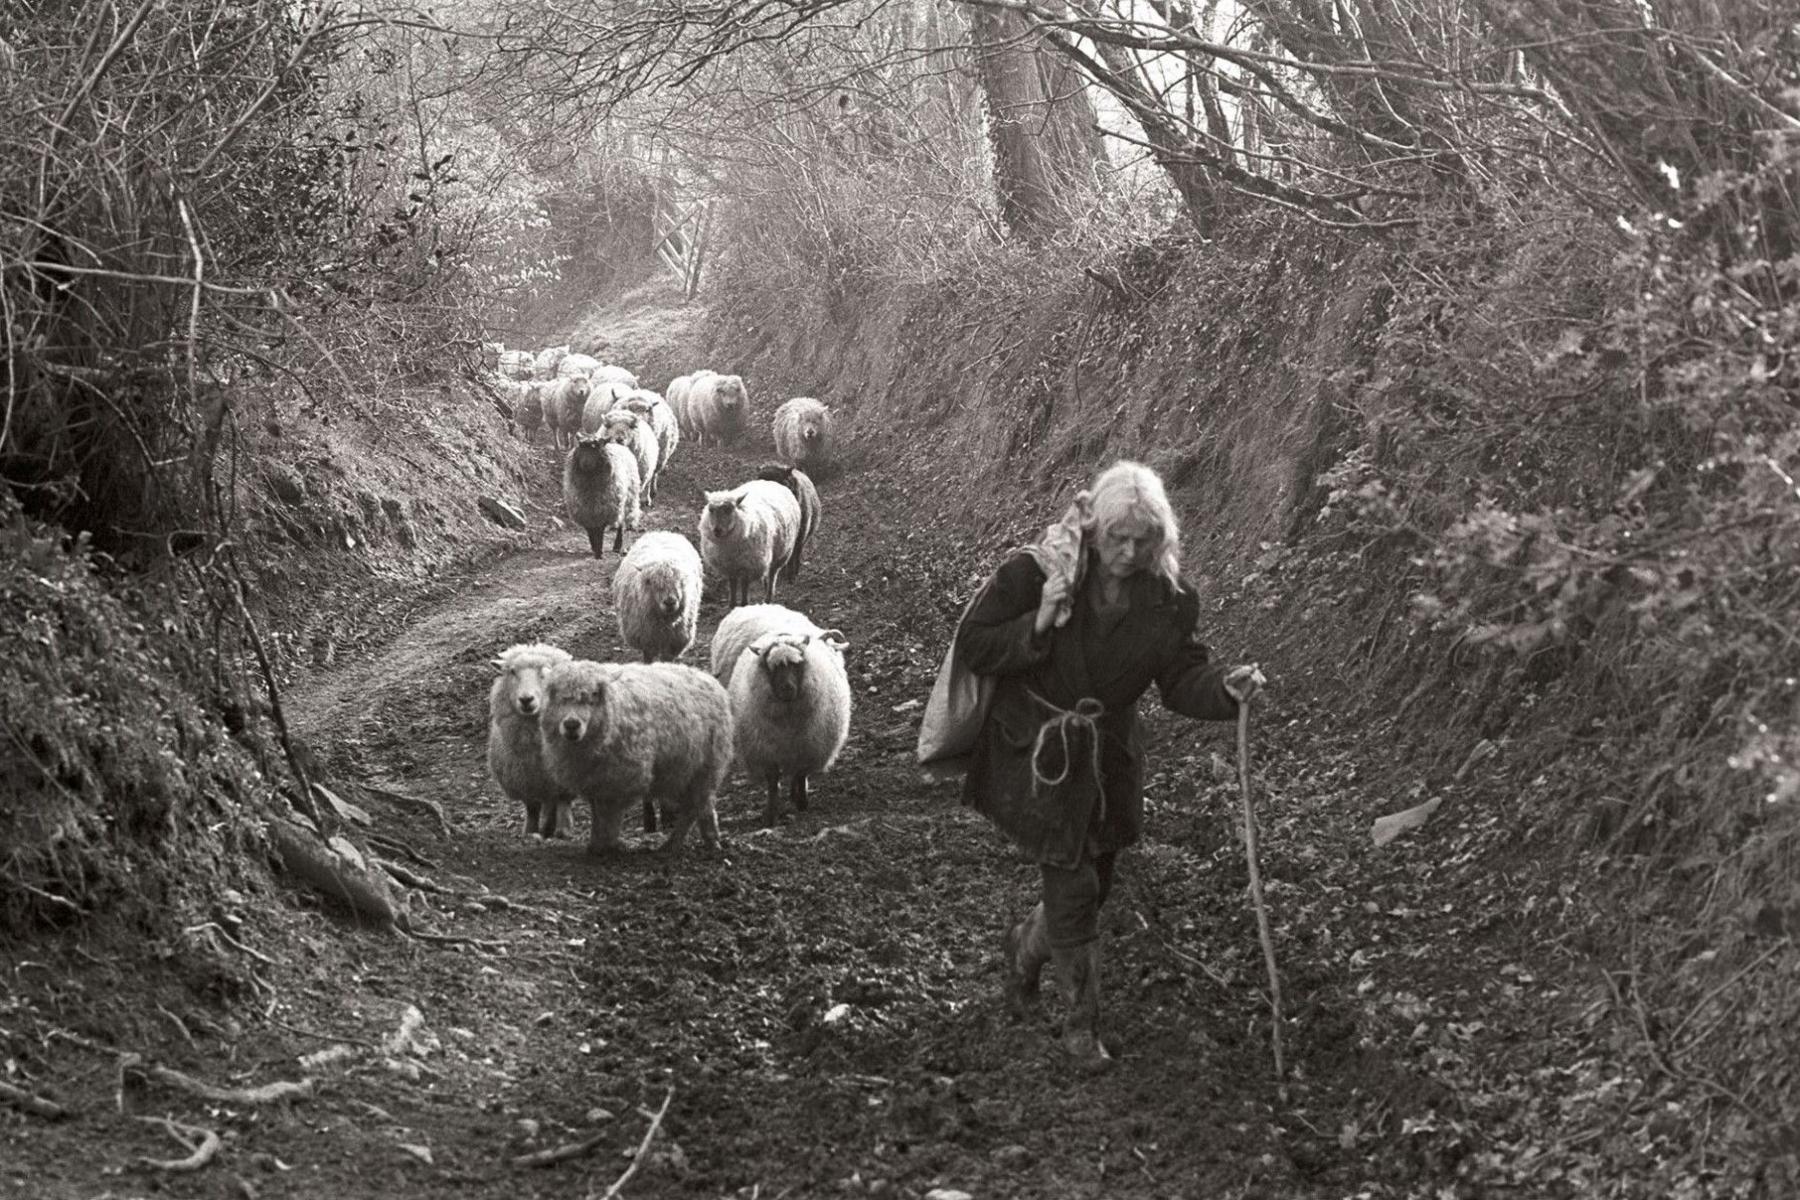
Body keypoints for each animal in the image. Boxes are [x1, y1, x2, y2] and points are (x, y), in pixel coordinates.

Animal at [486, 644, 576, 841]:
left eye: (546, 672)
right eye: (512, 671)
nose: (526, 699)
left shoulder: (564, 780)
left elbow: (563, 801)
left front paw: (564, 832)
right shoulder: (525, 779)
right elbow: (532, 808)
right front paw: (530, 831)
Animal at [536, 658, 734, 852]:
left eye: (594, 695)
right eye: (557, 696)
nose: (571, 724)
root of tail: (705, 677)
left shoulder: (618, 780)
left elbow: (609, 815)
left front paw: (607, 846)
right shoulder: (594, 780)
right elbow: (596, 812)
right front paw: (595, 844)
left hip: (705, 767)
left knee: (692, 808)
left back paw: (673, 845)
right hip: (684, 773)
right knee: (704, 805)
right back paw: (711, 840)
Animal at [698, 482, 799, 611]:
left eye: (728, 509)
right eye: (711, 510)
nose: (717, 530)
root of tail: (772, 482)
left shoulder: (748, 565)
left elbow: (744, 585)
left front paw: (744, 604)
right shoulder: (729, 565)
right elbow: (732, 584)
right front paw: (732, 604)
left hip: (782, 554)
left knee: (772, 575)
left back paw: (768, 597)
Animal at [720, 611, 853, 827]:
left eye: (797, 665)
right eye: (771, 667)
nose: (787, 688)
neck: (788, 720)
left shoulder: (809, 747)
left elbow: (800, 774)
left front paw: (800, 801)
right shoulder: (766, 752)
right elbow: (773, 783)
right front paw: (771, 814)